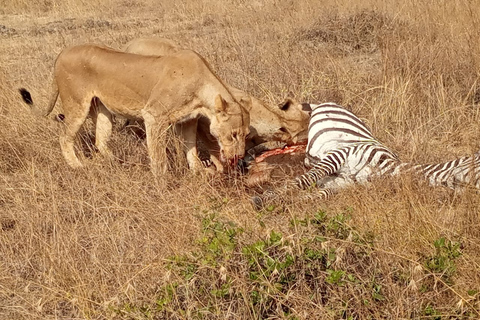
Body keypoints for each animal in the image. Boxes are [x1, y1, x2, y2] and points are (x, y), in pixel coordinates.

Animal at [18, 43, 249, 174]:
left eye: (246, 134)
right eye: (234, 134)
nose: (239, 157)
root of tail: (61, 53)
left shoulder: (188, 120)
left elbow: (190, 147)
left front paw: (199, 172)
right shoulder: (154, 116)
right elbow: (158, 156)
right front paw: (163, 184)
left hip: (101, 109)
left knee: (100, 139)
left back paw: (117, 163)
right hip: (76, 104)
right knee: (65, 137)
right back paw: (78, 167)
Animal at [251, 102, 480, 208]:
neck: (387, 171)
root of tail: (328, 103)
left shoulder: (344, 183)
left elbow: (316, 195)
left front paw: (286, 203)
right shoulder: (340, 155)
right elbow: (303, 181)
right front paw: (265, 198)